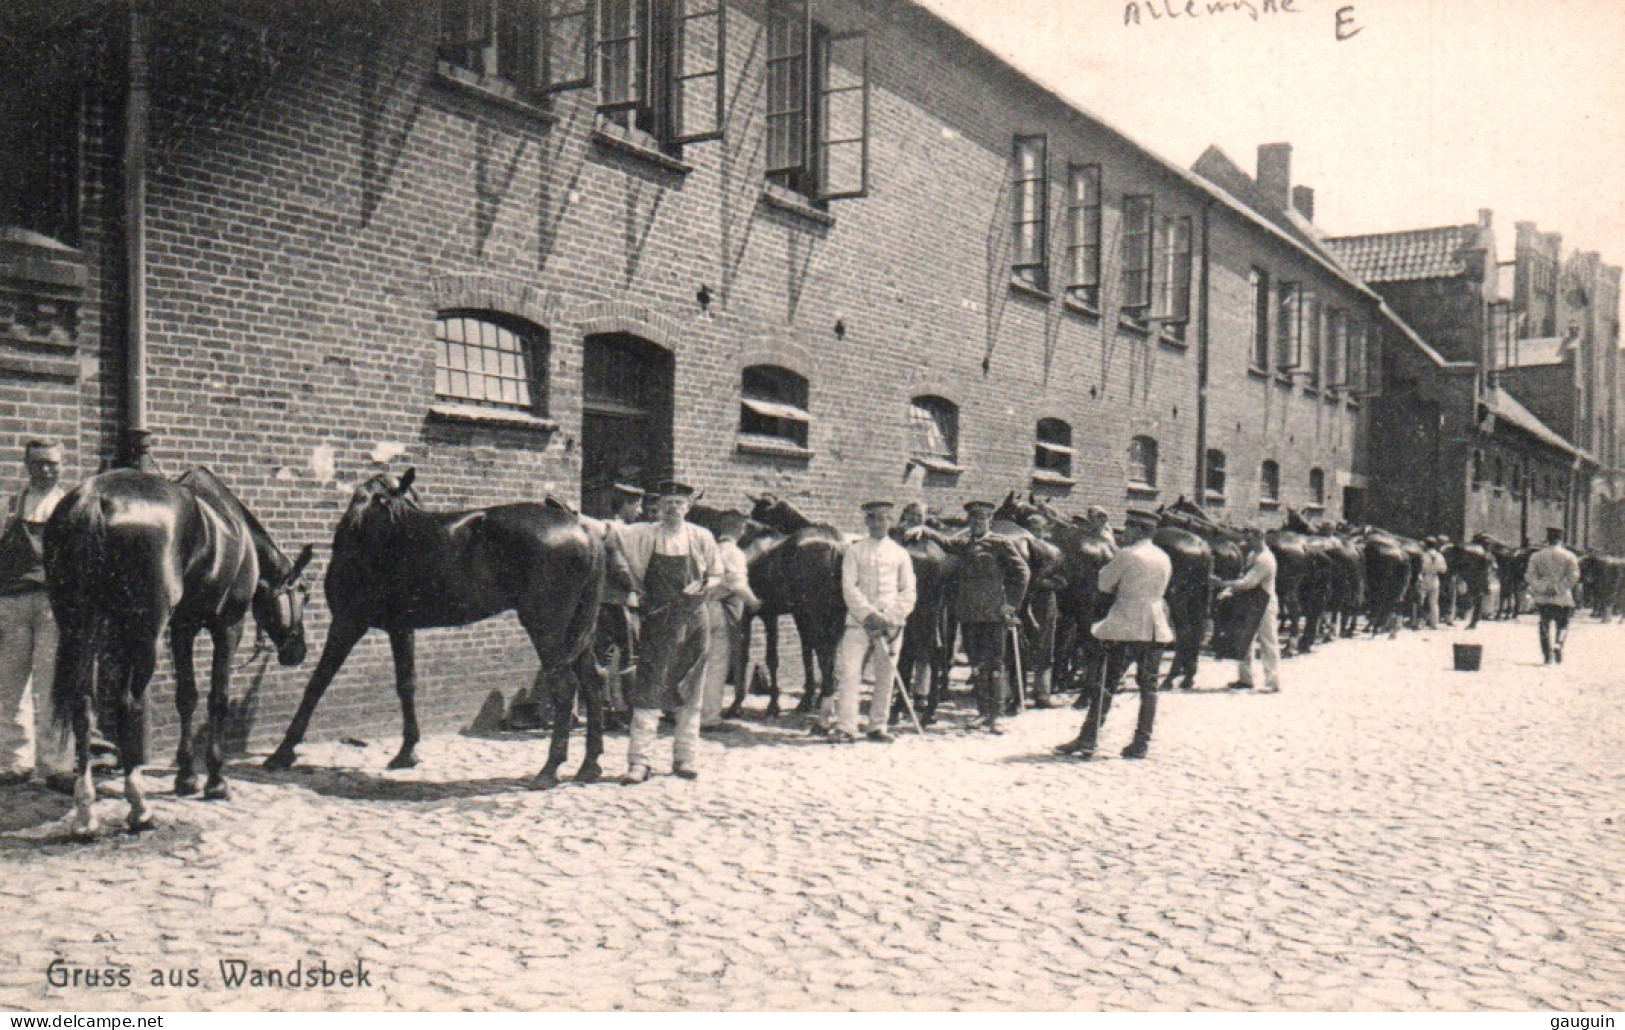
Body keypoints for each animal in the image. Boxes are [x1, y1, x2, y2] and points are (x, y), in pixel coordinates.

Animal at [47, 464, 313, 831]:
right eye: (303, 594)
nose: (297, 651)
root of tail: (95, 499)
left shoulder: (181, 629)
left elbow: (186, 697)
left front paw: (186, 777)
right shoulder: (227, 628)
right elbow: (217, 700)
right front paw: (215, 780)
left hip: (81, 628)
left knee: (83, 704)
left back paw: (85, 812)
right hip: (145, 634)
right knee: (128, 704)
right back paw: (139, 806)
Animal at [266, 464, 611, 786]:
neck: (371, 532)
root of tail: (580, 528)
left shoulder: (347, 622)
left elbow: (318, 681)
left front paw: (282, 752)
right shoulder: (401, 627)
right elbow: (406, 683)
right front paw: (407, 752)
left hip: (546, 626)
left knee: (565, 686)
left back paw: (549, 768)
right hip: (573, 630)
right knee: (592, 681)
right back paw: (589, 764)